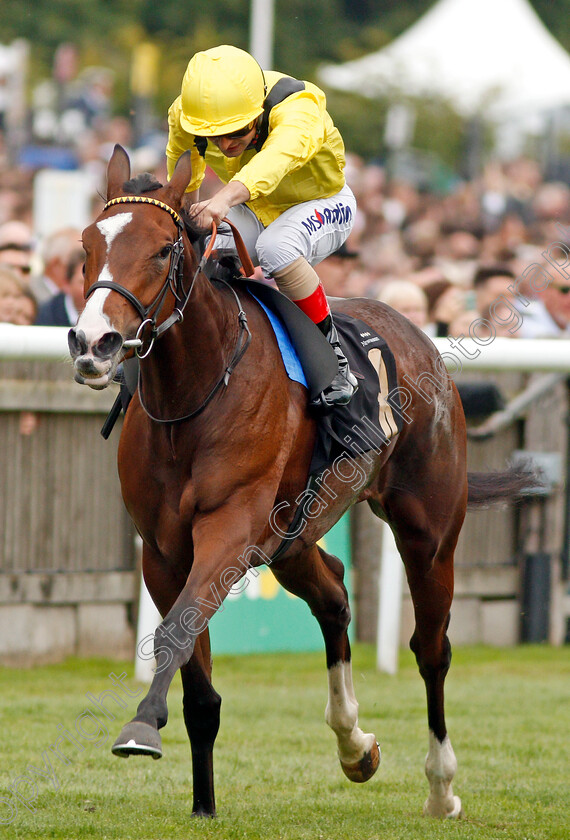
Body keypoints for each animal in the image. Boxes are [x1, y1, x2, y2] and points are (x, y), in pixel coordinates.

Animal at [70, 146, 528, 820]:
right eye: (85, 246)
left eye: (161, 249)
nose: (93, 343)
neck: (195, 393)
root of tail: (421, 336)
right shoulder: (164, 550)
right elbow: (193, 671)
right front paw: (203, 803)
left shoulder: (228, 531)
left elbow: (176, 630)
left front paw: (140, 727)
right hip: (291, 537)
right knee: (334, 594)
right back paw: (354, 743)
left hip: (429, 530)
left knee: (431, 648)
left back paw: (442, 787)